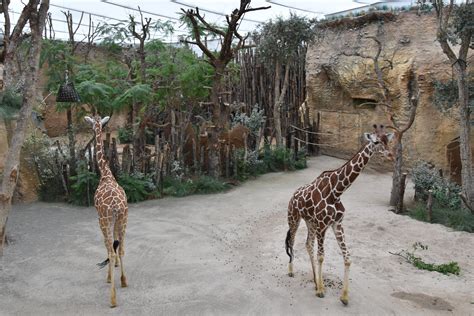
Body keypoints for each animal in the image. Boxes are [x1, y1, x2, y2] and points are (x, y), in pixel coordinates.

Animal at [286, 124, 394, 306]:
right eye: (376, 141)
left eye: (388, 140)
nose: (391, 156)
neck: (336, 192)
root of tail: (293, 195)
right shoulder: (323, 225)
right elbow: (321, 256)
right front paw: (321, 291)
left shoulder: (337, 224)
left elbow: (348, 257)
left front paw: (344, 297)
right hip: (294, 218)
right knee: (292, 241)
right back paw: (292, 272)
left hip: (310, 222)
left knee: (308, 244)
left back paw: (315, 280)